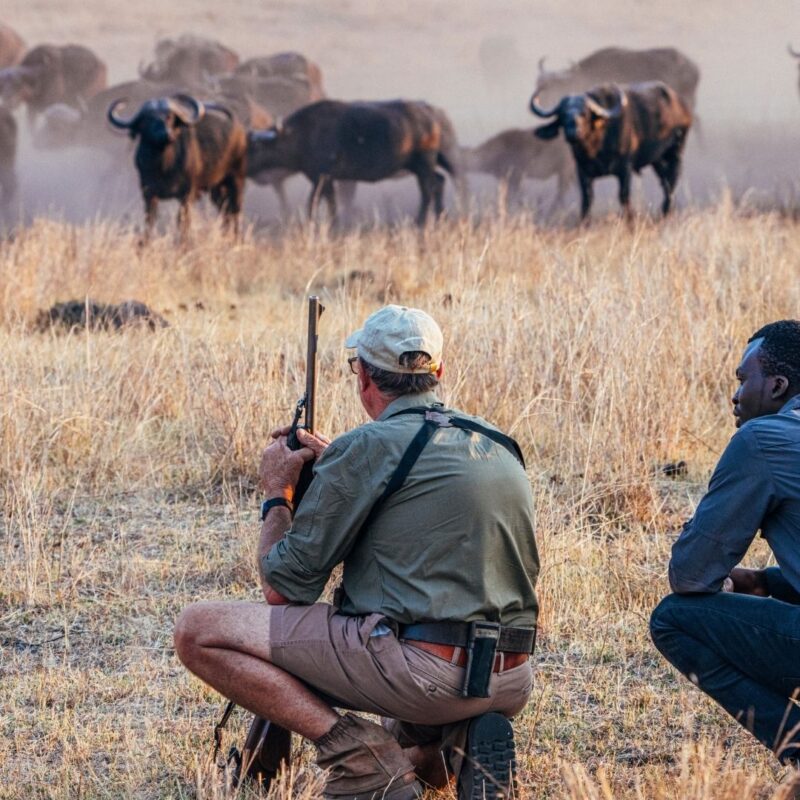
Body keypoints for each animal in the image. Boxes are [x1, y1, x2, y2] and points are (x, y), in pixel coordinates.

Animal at [107, 94, 247, 238]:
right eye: (148, 119)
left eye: (169, 117)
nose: (166, 134)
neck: (163, 167)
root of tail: (239, 129)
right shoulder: (148, 194)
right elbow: (149, 220)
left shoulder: (186, 195)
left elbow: (182, 221)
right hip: (216, 188)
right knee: (225, 211)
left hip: (236, 179)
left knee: (236, 210)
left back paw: (237, 239)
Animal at [247, 99, 460, 225]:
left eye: (255, 146)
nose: (244, 166)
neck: (302, 135)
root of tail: (433, 115)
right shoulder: (325, 180)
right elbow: (328, 203)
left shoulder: (322, 178)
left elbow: (315, 203)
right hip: (417, 166)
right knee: (439, 182)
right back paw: (441, 216)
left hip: (424, 162)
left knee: (429, 188)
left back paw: (421, 221)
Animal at [530, 81, 692, 220]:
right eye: (563, 114)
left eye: (584, 113)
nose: (573, 132)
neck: (596, 148)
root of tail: (682, 106)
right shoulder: (582, 171)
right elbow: (587, 199)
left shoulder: (625, 168)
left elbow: (624, 196)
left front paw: (630, 220)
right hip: (657, 160)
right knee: (664, 182)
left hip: (676, 152)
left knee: (672, 181)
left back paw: (665, 212)